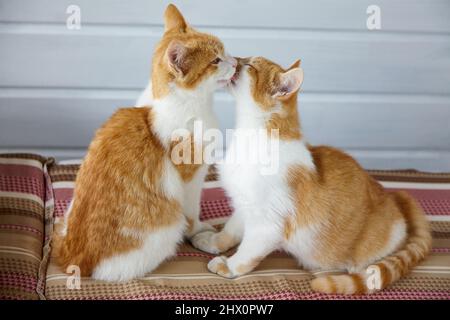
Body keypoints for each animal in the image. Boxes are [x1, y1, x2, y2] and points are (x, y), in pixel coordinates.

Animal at [54, 4, 237, 280]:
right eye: (216, 60)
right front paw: (198, 230)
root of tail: (72, 259)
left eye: (224, 51)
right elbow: (191, 211)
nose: (235, 61)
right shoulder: (192, 178)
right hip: (165, 231)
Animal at [192, 56, 430, 294]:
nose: (235, 59)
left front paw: (229, 265)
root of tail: (394, 197)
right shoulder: (244, 205)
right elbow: (231, 230)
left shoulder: (268, 225)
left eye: (250, 66)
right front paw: (213, 241)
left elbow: (247, 252)